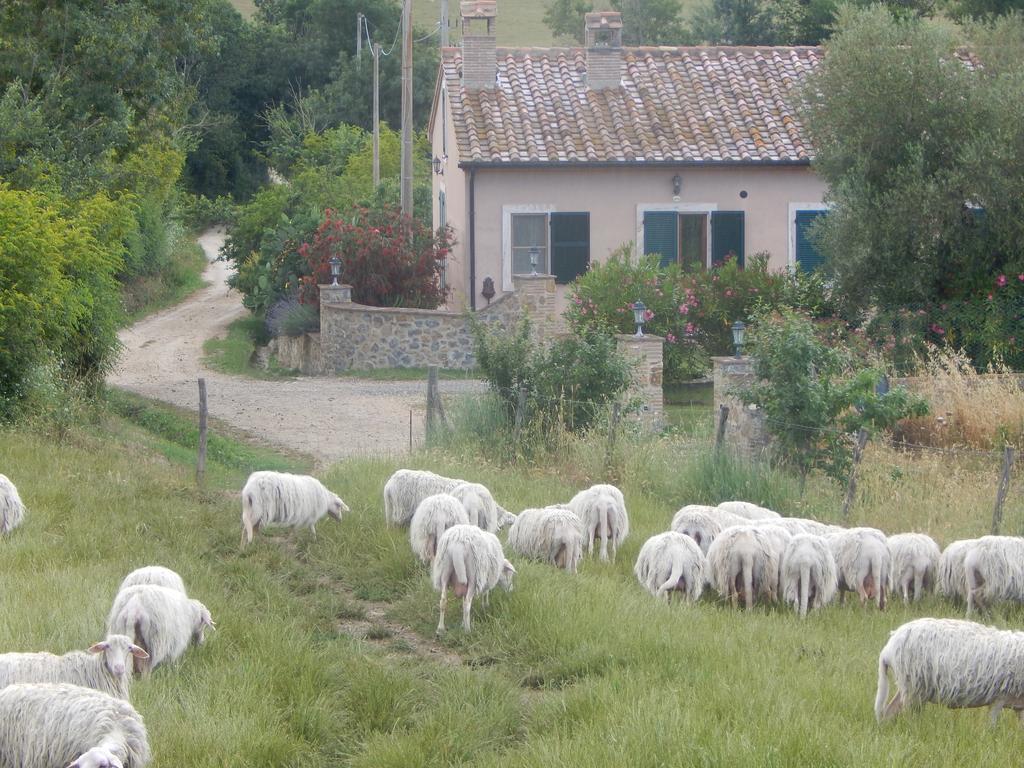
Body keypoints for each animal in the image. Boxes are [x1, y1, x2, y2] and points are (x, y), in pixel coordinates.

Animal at [872, 618, 1024, 729]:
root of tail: (887, 649)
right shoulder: (999, 698)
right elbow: (992, 726)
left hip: (908, 686)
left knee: (889, 711)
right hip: (913, 688)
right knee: (908, 716)